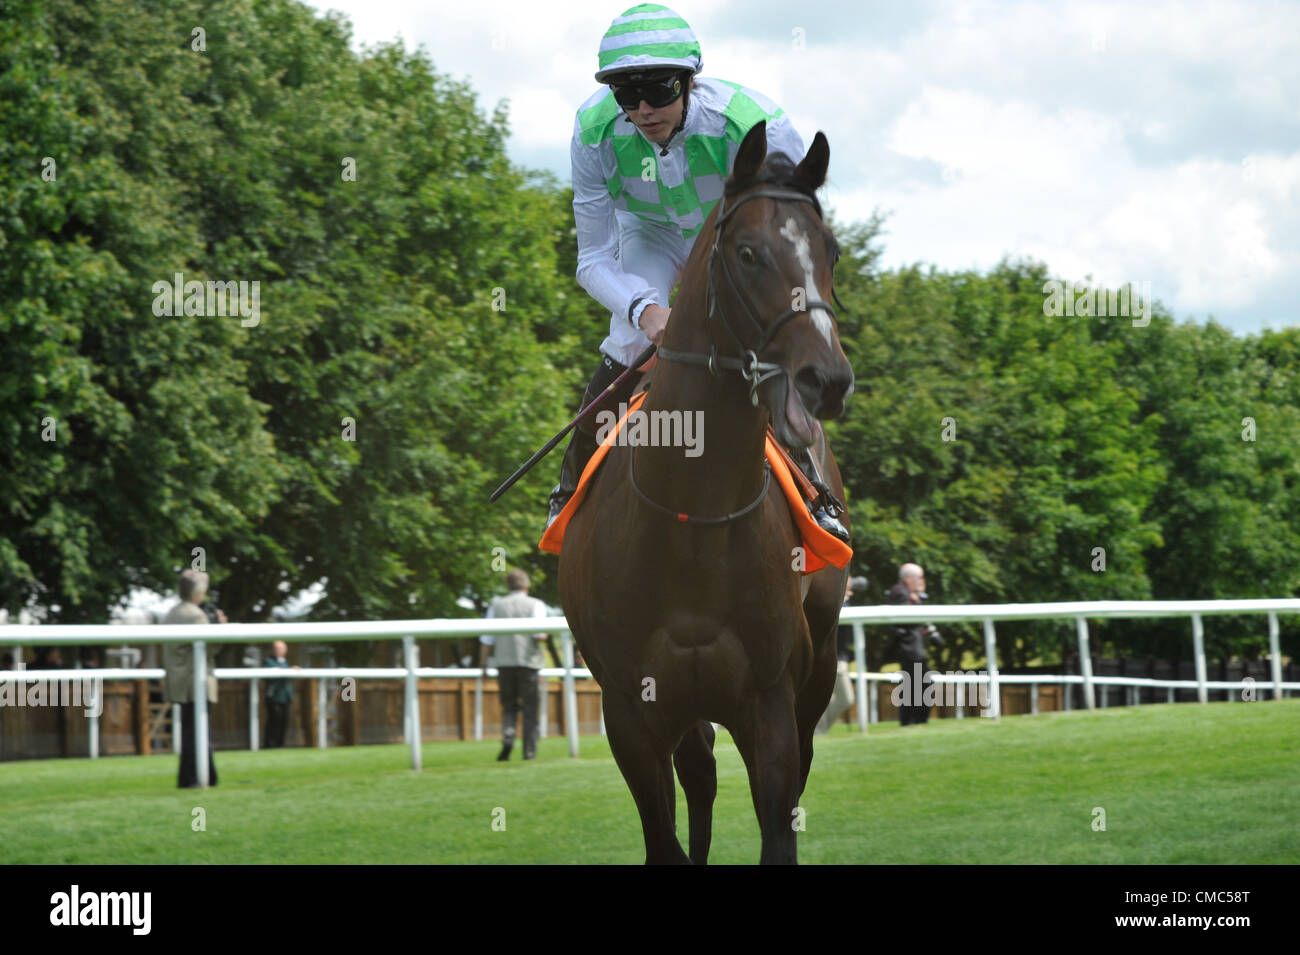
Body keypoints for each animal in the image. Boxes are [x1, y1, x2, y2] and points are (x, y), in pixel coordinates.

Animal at [556, 121, 852, 867]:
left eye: (830, 250)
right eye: (748, 253)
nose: (826, 380)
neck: (692, 516)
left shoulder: (771, 704)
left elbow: (779, 825)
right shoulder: (630, 714)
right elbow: (665, 839)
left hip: (817, 660)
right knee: (699, 777)